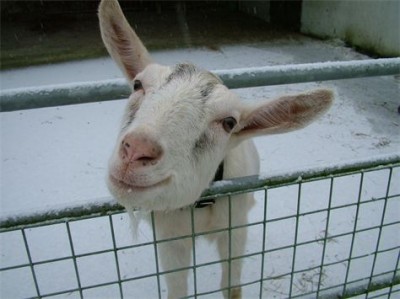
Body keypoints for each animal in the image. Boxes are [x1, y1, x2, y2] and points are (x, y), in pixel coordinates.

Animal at [100, 1, 334, 298]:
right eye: (138, 85)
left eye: (229, 122)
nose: (136, 150)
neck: (201, 206)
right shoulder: (170, 238)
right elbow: (177, 290)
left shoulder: (235, 228)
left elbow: (231, 287)